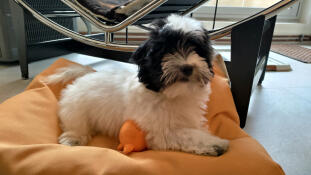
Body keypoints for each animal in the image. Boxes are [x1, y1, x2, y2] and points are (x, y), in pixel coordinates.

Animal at [47, 13, 230, 156]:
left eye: (196, 50)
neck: (173, 94)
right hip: (76, 108)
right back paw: (73, 138)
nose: (187, 67)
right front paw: (215, 143)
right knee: (75, 123)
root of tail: (86, 75)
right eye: (167, 51)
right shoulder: (161, 131)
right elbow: (188, 134)